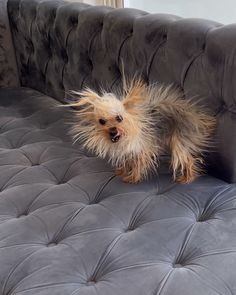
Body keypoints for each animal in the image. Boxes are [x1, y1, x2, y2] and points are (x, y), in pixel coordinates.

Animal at [67, 80, 216, 184]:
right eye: (102, 121)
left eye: (119, 118)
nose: (112, 131)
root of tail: (194, 116)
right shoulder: (127, 150)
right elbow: (127, 161)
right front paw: (123, 171)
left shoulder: (142, 150)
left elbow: (138, 164)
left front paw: (133, 177)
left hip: (180, 141)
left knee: (188, 159)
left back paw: (187, 178)